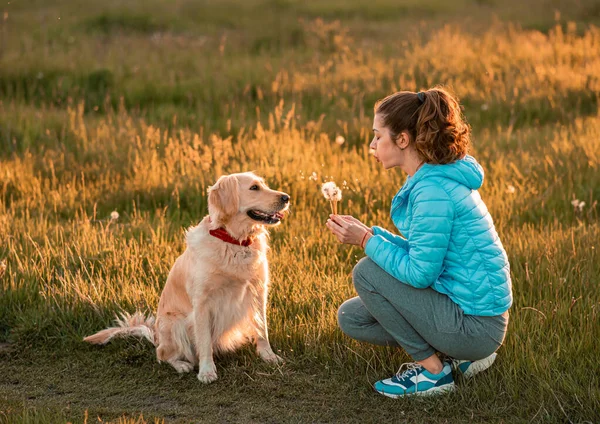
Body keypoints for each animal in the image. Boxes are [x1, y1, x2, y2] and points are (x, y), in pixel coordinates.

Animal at [85, 171, 290, 382]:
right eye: (254, 188)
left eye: (264, 185)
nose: (286, 198)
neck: (234, 242)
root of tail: (156, 336)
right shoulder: (202, 302)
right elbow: (204, 341)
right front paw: (206, 370)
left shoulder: (258, 291)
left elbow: (262, 329)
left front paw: (268, 355)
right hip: (173, 323)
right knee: (162, 355)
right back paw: (182, 364)